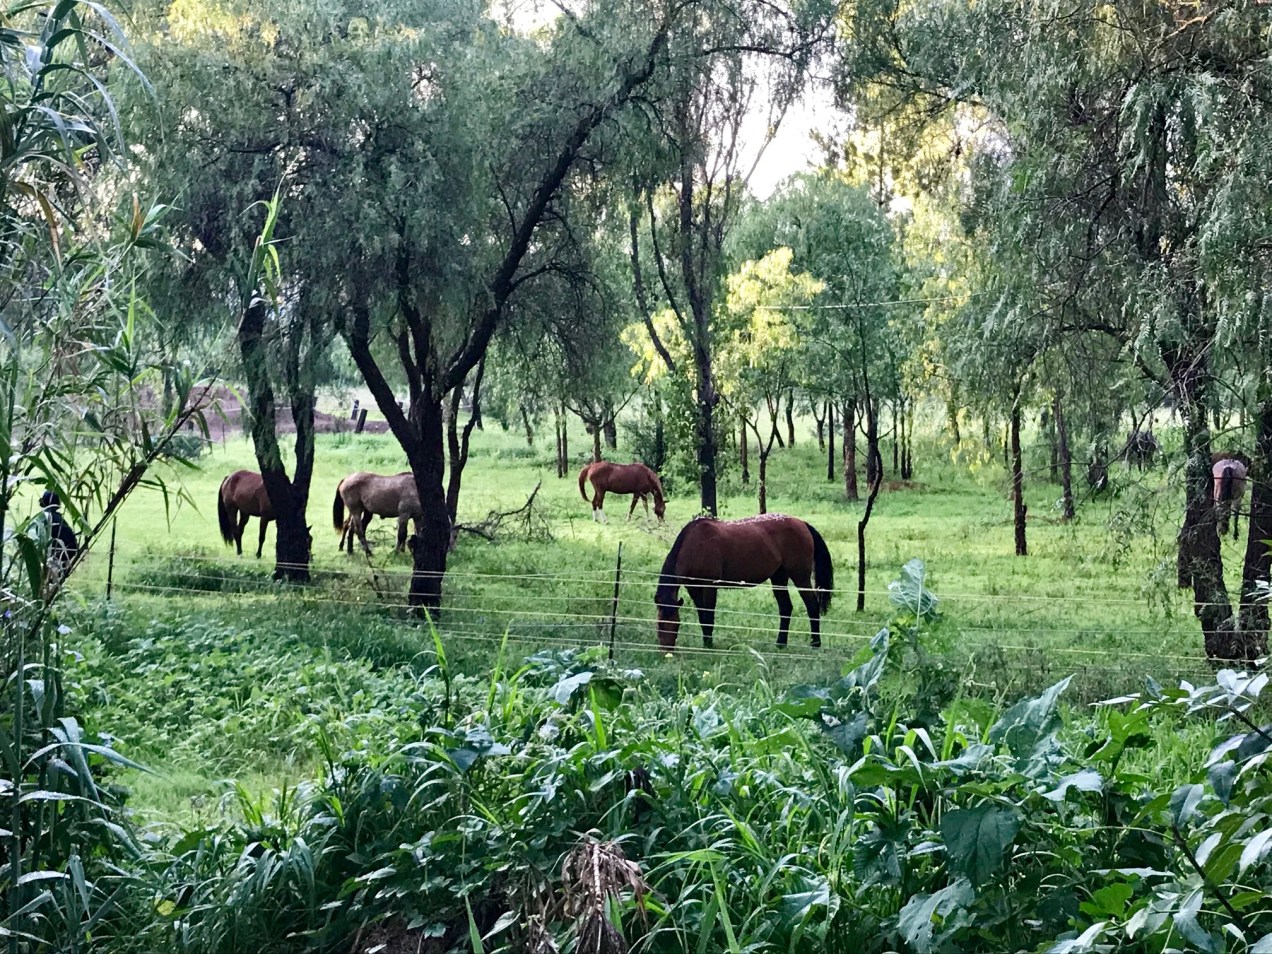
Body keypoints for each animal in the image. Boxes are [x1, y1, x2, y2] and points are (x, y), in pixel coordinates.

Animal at [654, 513, 833, 650]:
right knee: (786, 608)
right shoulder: (693, 588)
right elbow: (702, 617)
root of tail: (803, 524)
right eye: (660, 624)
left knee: (812, 606)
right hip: (778, 577)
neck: (694, 544)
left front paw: (709, 645)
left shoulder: (710, 586)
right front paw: (706, 642)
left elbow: (709, 616)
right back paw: (781, 643)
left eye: (676, 624)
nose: (667, 650)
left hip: (800, 577)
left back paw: (815, 643)